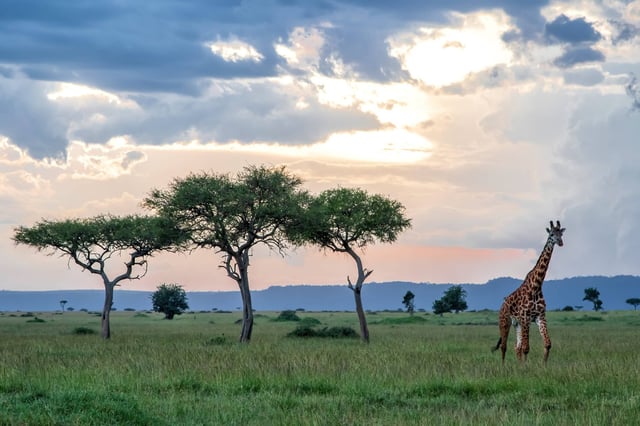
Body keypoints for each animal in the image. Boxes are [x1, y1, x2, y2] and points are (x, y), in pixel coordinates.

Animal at [493, 220, 565, 363]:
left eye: (561, 233)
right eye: (551, 234)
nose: (560, 242)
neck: (536, 286)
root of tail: (502, 304)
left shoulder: (540, 316)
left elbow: (547, 344)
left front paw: (543, 365)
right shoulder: (526, 317)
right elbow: (526, 348)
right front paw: (526, 367)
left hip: (517, 324)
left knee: (516, 347)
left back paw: (518, 365)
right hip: (504, 322)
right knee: (504, 346)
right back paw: (503, 366)